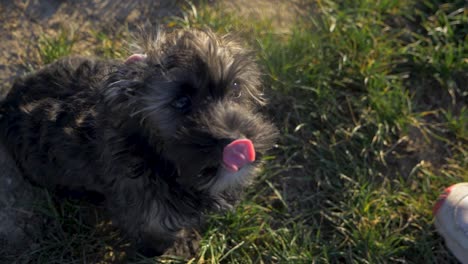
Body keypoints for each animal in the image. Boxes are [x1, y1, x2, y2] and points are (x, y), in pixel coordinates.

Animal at [0, 28, 278, 256]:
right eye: (181, 102)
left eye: (236, 89)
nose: (239, 143)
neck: (155, 156)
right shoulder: (148, 217)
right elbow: (157, 237)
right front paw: (174, 248)